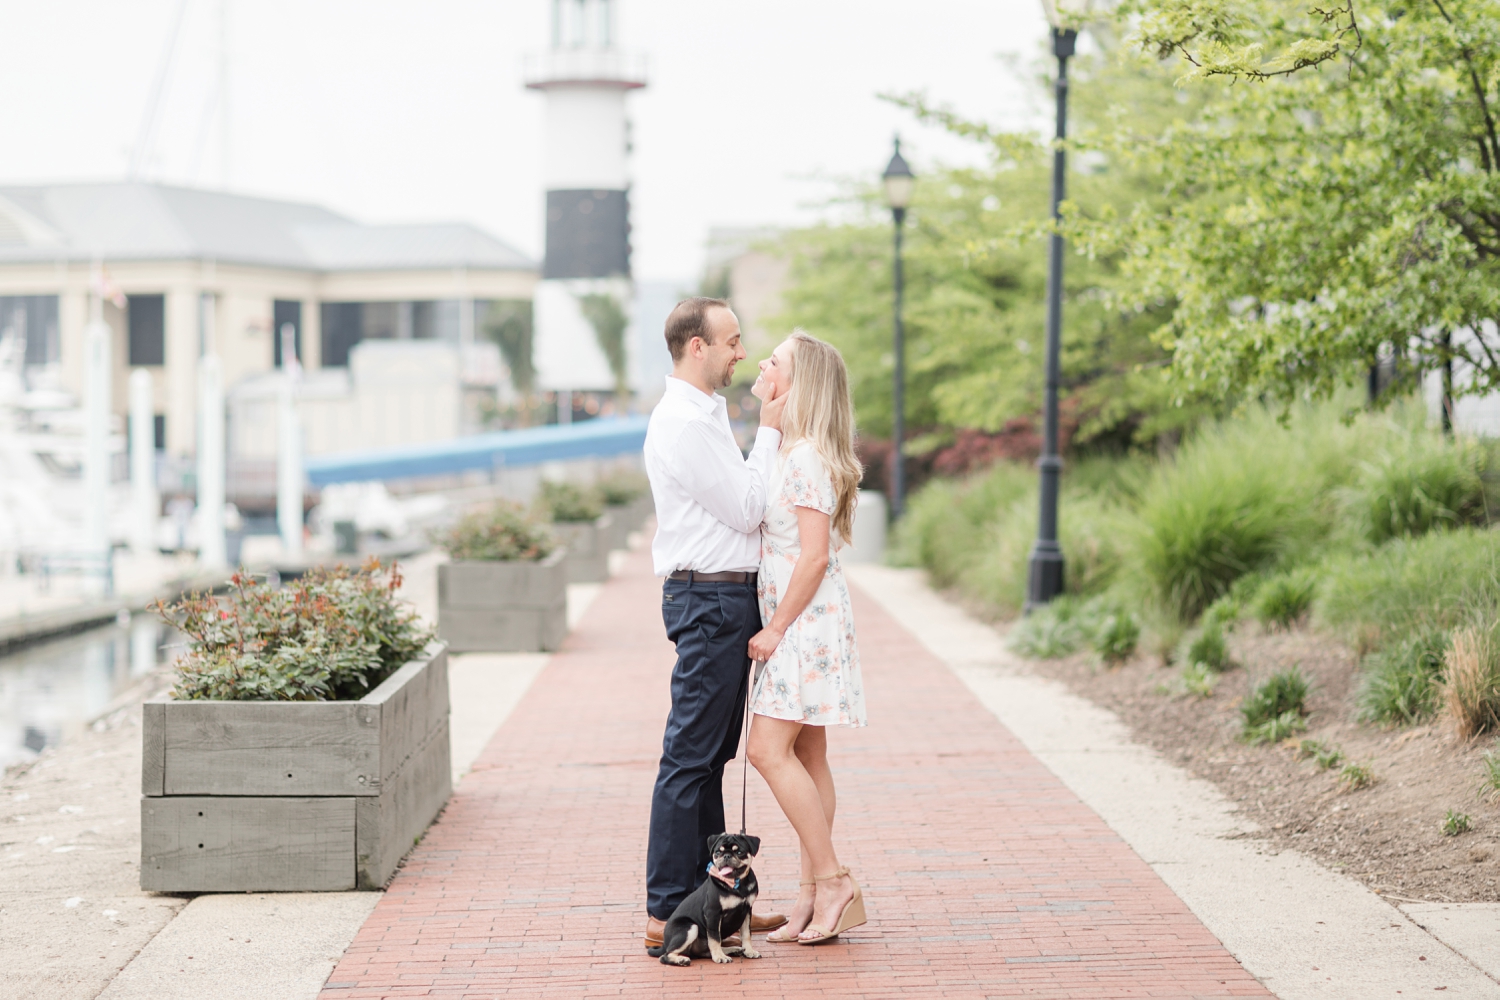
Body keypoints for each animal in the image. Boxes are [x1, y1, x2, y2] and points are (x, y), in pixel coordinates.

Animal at [657, 833, 762, 965]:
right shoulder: (713, 913)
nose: (726, 856)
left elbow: (746, 934)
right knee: (665, 955)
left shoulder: (747, 911)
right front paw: (719, 957)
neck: (737, 883)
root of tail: (664, 943)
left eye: (739, 852)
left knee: (704, 951)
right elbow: (714, 937)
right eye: (718, 852)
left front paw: (749, 951)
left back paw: (734, 950)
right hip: (690, 928)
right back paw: (682, 959)